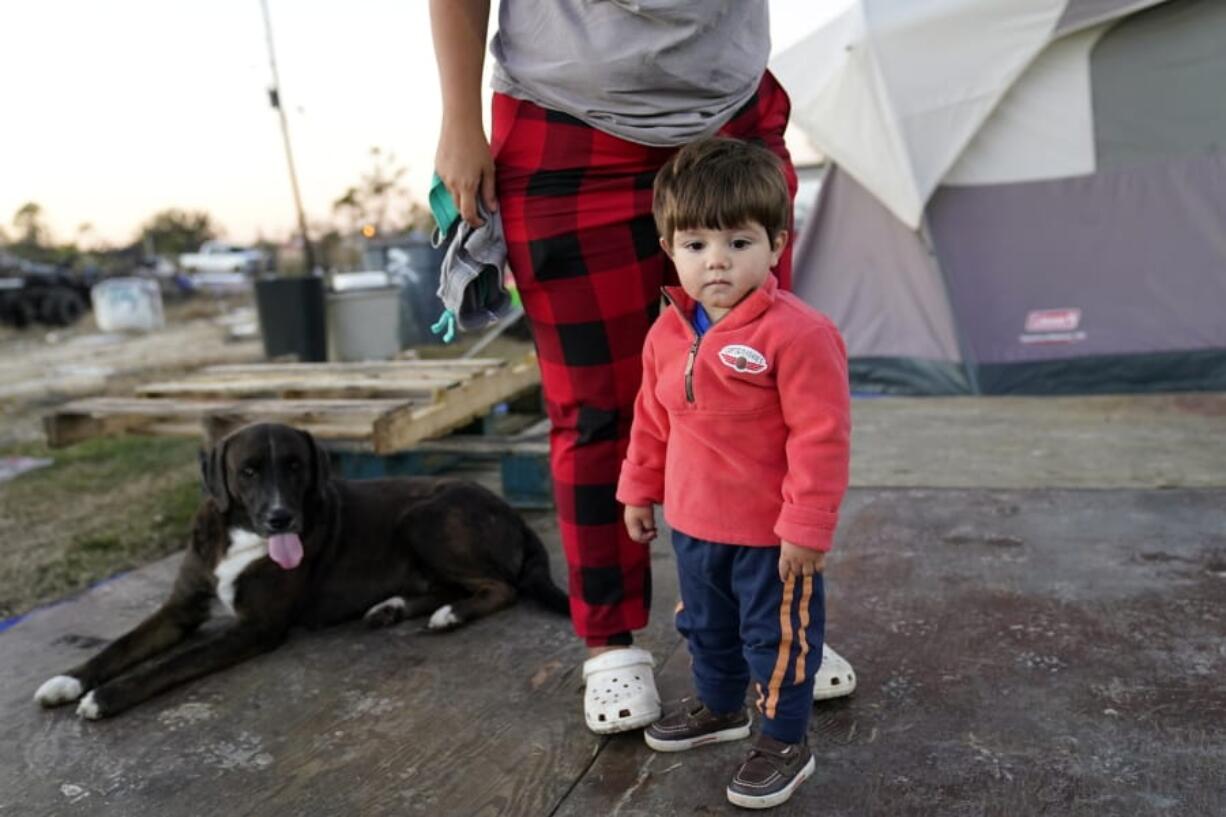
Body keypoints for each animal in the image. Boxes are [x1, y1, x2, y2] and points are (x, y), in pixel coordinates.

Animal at [34, 421, 568, 716]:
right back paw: (393, 608)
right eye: (248, 470)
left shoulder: (256, 627)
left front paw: (105, 698)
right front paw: (69, 680)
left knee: (500, 587)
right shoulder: (180, 609)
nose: (281, 517)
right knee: (449, 585)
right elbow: (123, 644)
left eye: (295, 466)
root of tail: (513, 512)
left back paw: (450, 615)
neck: (241, 538)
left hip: (423, 516)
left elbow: (172, 663)